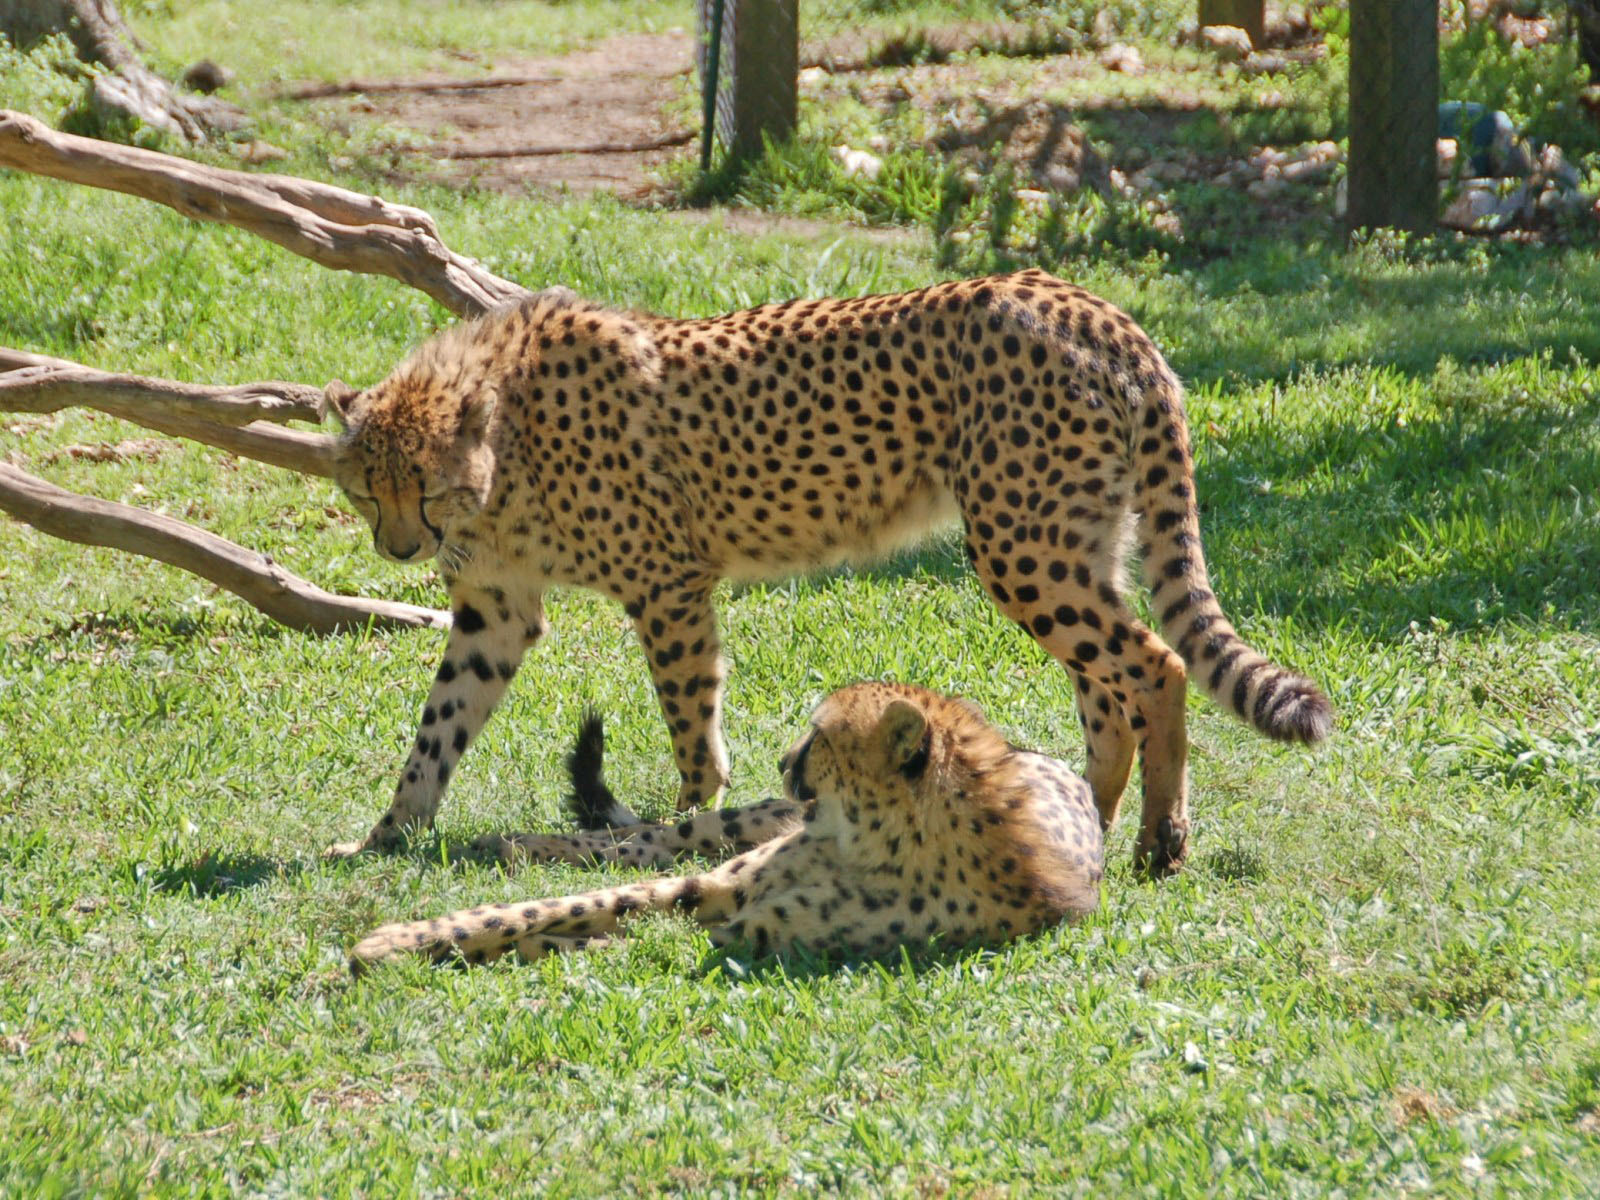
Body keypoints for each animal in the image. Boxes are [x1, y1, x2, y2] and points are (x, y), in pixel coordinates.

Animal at [325, 268, 1332, 875]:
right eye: (368, 491)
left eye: (425, 489)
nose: (400, 549)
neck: (507, 436)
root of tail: (1089, 303)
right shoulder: (496, 610)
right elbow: (438, 727)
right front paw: (384, 836)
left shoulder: (668, 584)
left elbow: (692, 726)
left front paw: (686, 827)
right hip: (1075, 543)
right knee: (1107, 686)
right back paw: (1085, 817)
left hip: (1023, 547)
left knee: (1154, 667)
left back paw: (1161, 842)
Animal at [348, 682, 1104, 971]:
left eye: (821, 736)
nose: (783, 760)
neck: (873, 842)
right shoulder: (706, 888)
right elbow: (555, 906)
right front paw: (398, 940)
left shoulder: (747, 934)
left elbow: (615, 938)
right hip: (726, 827)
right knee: (645, 838)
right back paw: (510, 844)